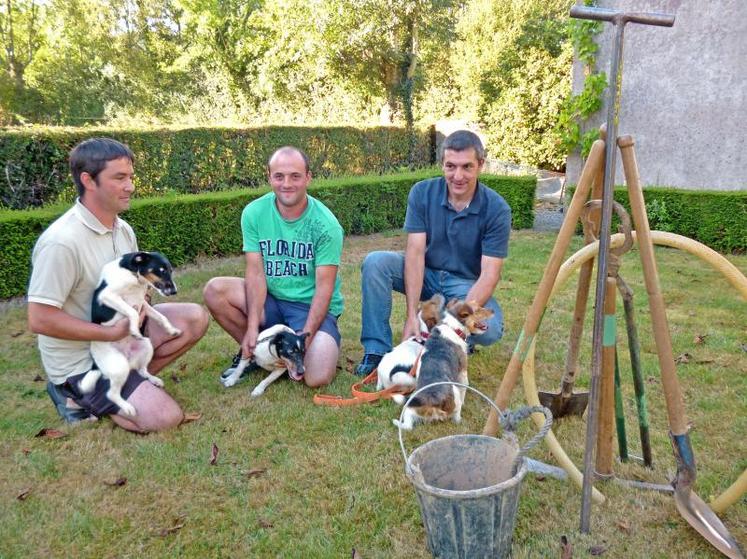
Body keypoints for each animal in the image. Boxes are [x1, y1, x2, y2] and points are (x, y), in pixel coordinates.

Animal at [80, 252, 181, 418]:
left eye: (170, 270)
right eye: (160, 270)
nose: (174, 292)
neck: (134, 277)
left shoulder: (143, 303)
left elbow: (160, 317)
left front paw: (171, 330)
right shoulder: (107, 295)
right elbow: (132, 311)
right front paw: (133, 329)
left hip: (146, 346)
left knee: (142, 370)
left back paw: (154, 380)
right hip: (119, 366)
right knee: (111, 394)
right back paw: (127, 407)